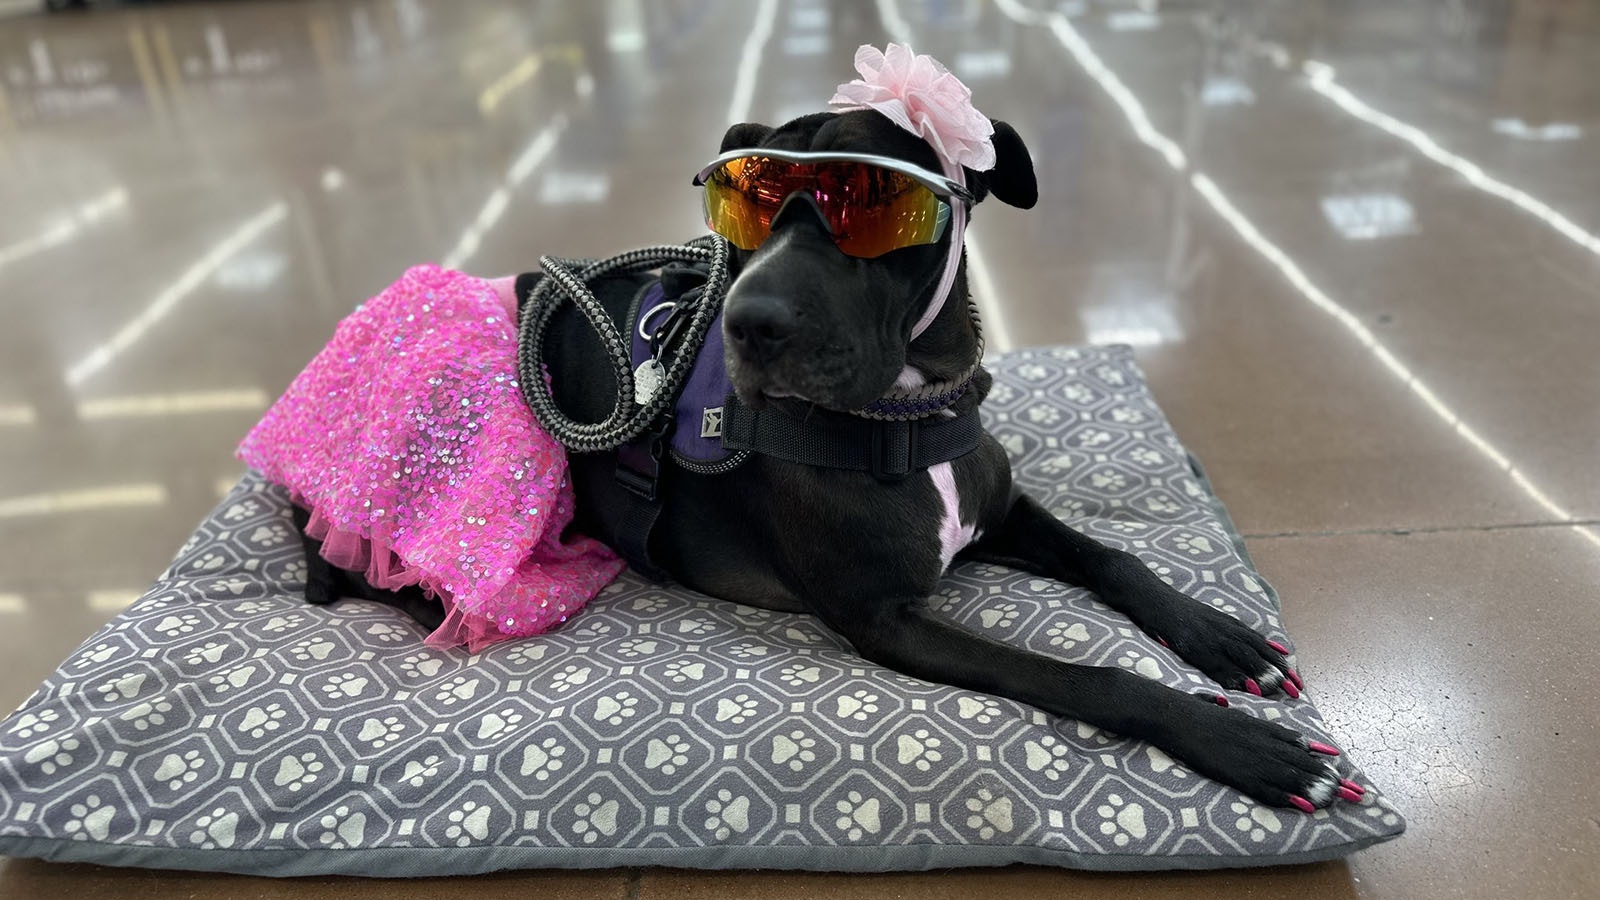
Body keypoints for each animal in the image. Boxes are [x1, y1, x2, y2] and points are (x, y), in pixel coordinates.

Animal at [262, 45, 1363, 810]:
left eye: (873, 205)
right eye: (743, 207)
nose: (749, 324)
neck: (906, 413)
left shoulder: (1001, 510)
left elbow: (1116, 559)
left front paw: (1220, 636)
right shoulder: (885, 615)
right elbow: (1080, 673)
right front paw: (1240, 745)